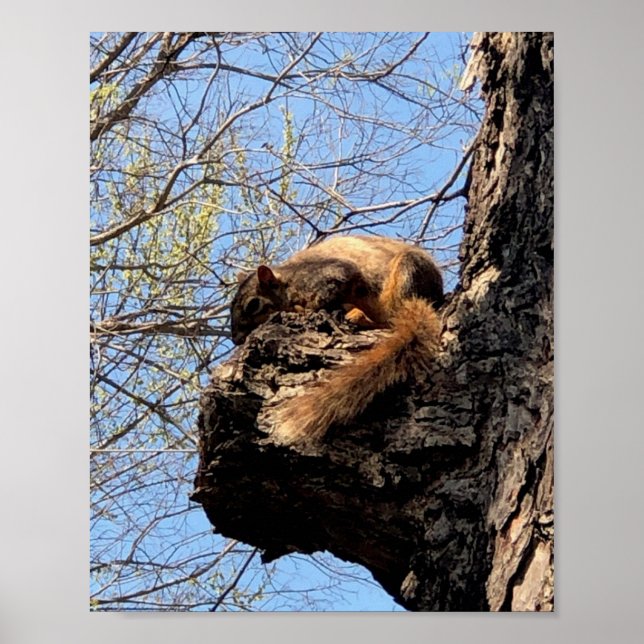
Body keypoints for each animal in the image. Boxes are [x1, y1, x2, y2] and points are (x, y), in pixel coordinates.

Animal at [230, 235, 444, 445]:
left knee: (390, 316)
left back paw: (361, 317)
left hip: (407, 272)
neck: (288, 281)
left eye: (253, 305)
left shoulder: (324, 276)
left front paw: (301, 310)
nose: (236, 339)